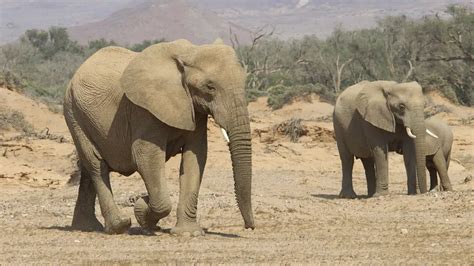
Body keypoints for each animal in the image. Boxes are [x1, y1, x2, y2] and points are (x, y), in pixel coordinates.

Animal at [65, 39, 256, 235]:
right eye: (210, 87)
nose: (250, 226)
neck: (189, 53)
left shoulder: (193, 109)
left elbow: (195, 156)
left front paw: (188, 233)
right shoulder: (143, 109)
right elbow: (145, 157)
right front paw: (143, 207)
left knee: (87, 168)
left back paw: (86, 227)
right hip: (75, 114)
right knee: (96, 164)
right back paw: (119, 226)